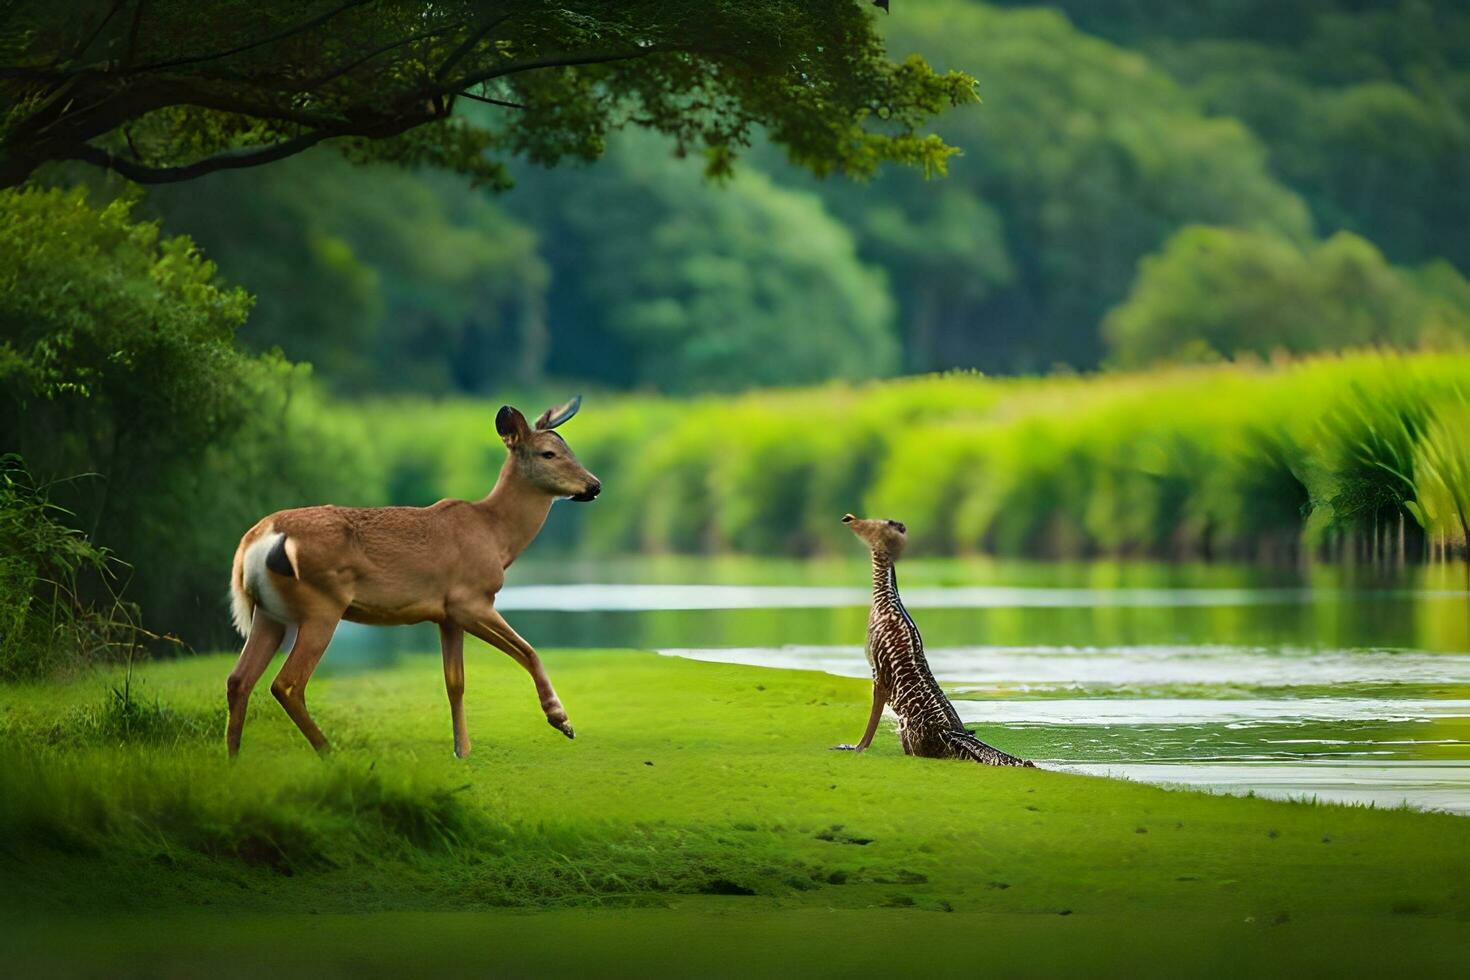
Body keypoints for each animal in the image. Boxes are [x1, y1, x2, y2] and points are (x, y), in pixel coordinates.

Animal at [224, 396, 602, 758]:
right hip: (321, 605)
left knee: (238, 680)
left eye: (569, 448)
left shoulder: (445, 616)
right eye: (549, 453)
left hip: (269, 613)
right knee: (286, 684)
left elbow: (455, 681)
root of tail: (256, 542)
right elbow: (528, 651)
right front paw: (561, 719)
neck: (496, 536)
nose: (594, 485)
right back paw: (329, 752)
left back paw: (234, 760)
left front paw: (462, 750)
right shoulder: (469, 599)